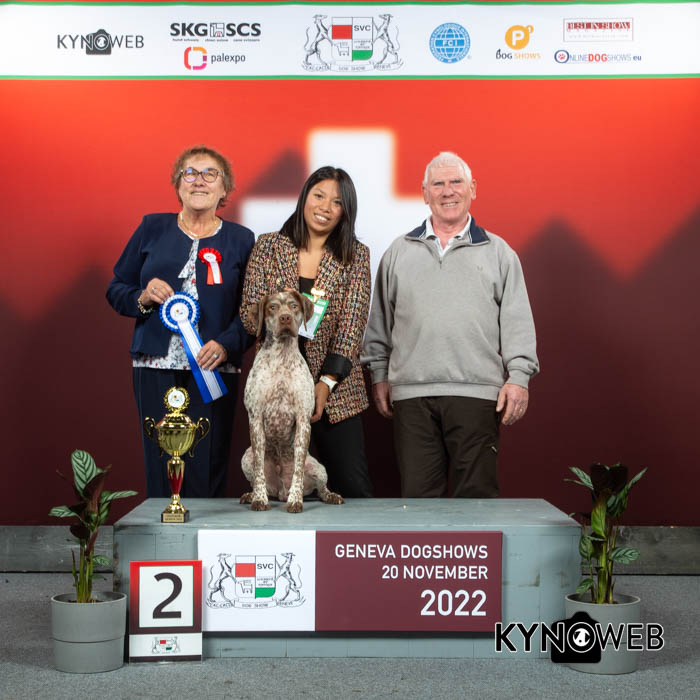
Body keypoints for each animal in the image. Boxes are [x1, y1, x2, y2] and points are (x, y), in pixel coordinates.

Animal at [240, 290, 344, 513]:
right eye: (272, 307)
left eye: (293, 305)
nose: (285, 318)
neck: (282, 355)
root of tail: (280, 489)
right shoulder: (255, 419)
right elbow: (259, 470)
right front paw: (259, 499)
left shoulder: (304, 421)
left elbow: (298, 470)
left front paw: (295, 500)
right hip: (246, 457)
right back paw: (251, 494)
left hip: (318, 467)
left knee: (321, 489)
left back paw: (330, 496)